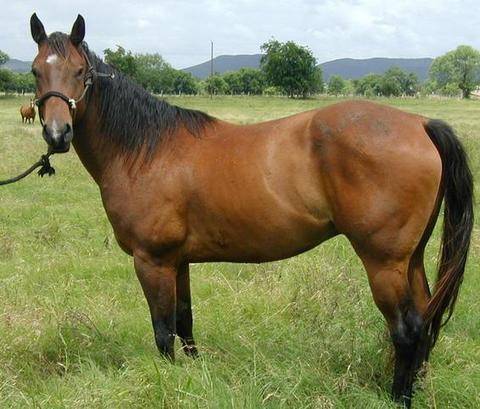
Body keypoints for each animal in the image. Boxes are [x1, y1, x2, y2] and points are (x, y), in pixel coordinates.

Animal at [29, 14, 472, 406]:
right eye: (35, 72)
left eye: (80, 71)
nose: (58, 134)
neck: (147, 150)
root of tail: (420, 125)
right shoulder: (178, 261)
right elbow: (184, 322)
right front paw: (196, 378)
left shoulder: (152, 261)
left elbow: (163, 332)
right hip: (410, 259)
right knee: (425, 320)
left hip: (383, 262)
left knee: (407, 329)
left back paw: (399, 398)